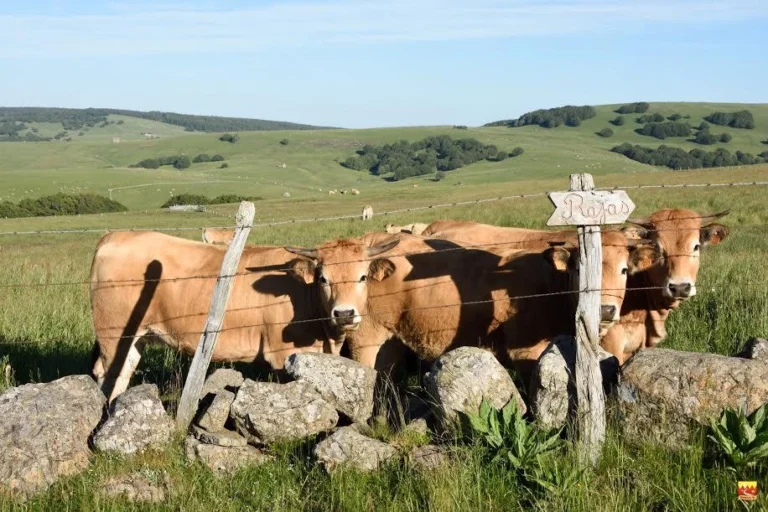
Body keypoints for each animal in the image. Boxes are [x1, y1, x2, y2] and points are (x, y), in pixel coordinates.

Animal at [89, 231, 399, 401]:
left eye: (362, 277)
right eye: (324, 278)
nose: (344, 313)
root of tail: (116, 236)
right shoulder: (282, 355)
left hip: (135, 336)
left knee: (125, 369)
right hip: (113, 333)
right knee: (107, 372)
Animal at [283, 230, 658, 380]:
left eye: (625, 270)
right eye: (581, 268)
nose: (605, 310)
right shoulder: (526, 351)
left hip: (390, 341)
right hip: (366, 338)